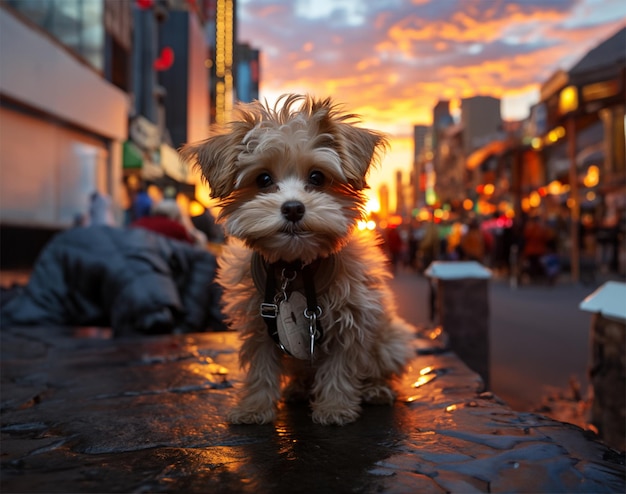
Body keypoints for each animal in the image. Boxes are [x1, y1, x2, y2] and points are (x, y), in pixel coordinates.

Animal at [180, 95, 414, 424]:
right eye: (263, 179)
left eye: (317, 177)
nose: (292, 208)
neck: (294, 268)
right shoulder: (259, 324)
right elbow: (260, 367)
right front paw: (254, 407)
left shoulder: (353, 318)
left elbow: (341, 366)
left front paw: (335, 407)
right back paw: (299, 389)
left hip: (393, 342)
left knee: (379, 369)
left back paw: (376, 390)